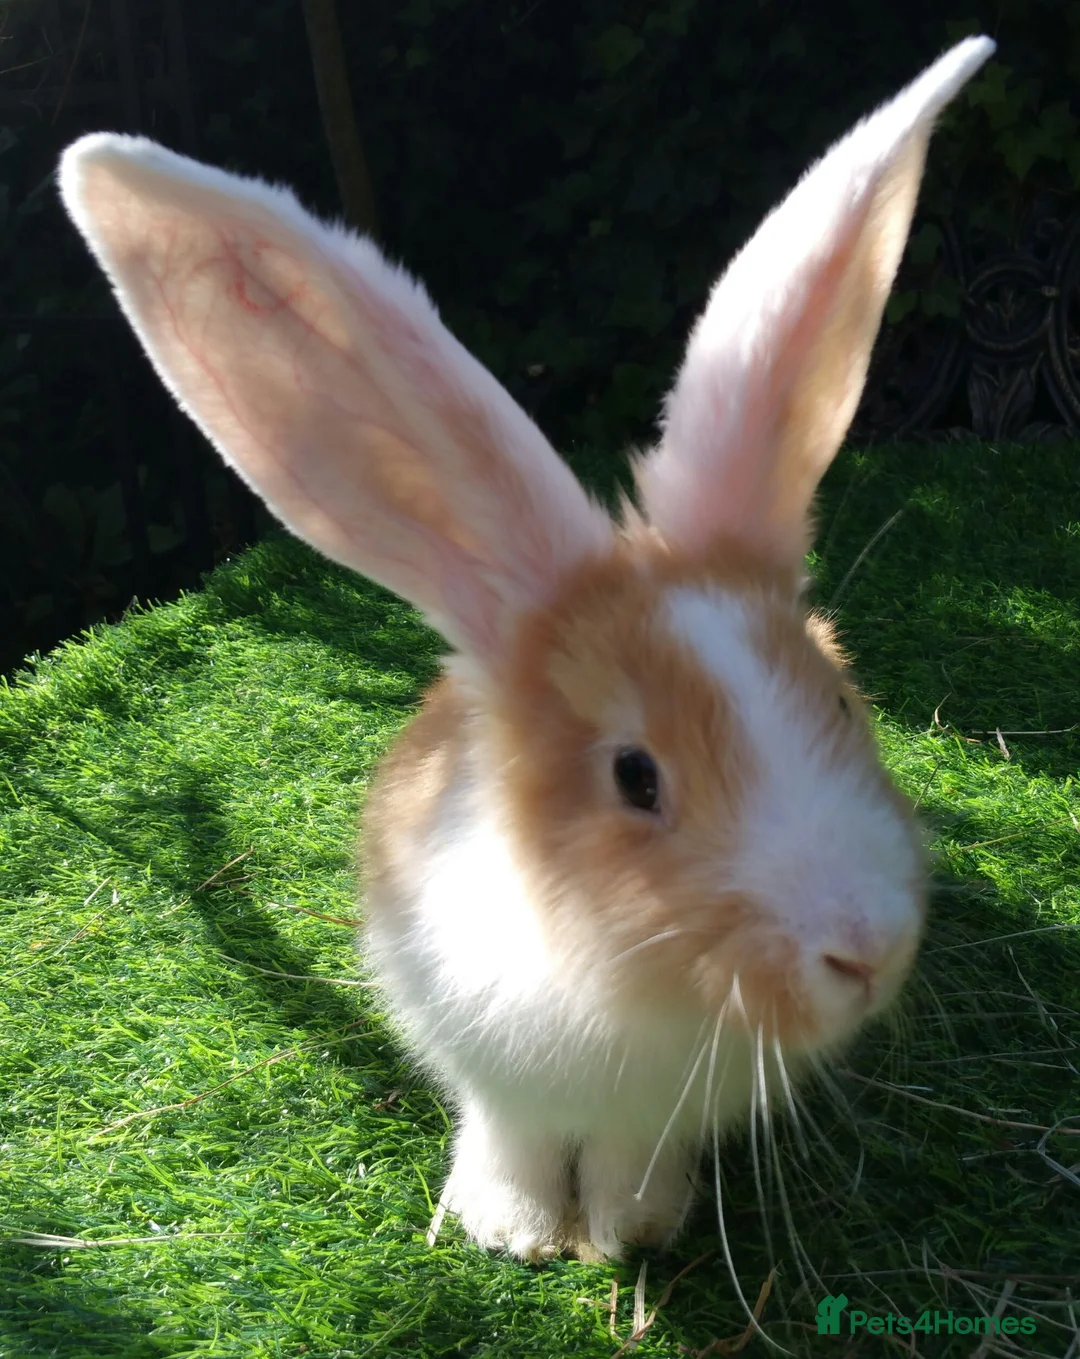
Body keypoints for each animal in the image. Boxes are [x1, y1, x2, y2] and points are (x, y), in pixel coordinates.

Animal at [59, 34, 993, 1262]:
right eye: (635, 777)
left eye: (843, 707)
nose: (867, 949)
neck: (623, 976)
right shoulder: (483, 1058)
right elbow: (507, 1136)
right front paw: (510, 1232)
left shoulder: (654, 1112)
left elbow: (631, 1160)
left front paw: (631, 1231)